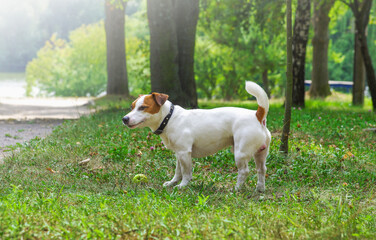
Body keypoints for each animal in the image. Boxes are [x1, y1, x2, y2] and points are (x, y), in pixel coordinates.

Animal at [122, 81, 270, 192]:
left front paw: (182, 186)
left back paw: (236, 188)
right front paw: (172, 182)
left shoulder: (184, 153)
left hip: (240, 153)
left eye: (143, 107)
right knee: (261, 170)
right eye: (132, 106)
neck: (169, 118)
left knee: (244, 171)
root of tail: (257, 115)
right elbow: (178, 171)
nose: (124, 119)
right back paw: (260, 188)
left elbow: (186, 173)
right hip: (260, 153)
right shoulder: (179, 154)